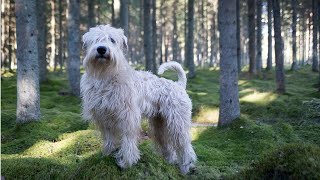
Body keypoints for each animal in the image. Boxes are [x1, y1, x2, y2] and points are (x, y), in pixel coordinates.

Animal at [80, 24, 195, 174]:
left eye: (112, 40)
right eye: (95, 39)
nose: (101, 49)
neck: (105, 76)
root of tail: (179, 85)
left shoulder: (127, 116)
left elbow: (128, 140)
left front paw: (126, 162)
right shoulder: (103, 115)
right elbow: (108, 137)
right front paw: (107, 154)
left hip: (177, 122)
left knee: (184, 145)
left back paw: (186, 167)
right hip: (159, 123)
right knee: (167, 144)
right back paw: (169, 161)